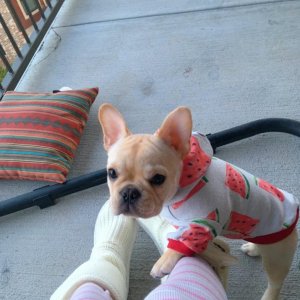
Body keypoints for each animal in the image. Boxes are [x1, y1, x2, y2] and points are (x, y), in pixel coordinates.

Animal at [98, 103, 298, 300]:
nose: (129, 192)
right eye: (111, 173)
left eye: (158, 179)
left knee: (275, 282)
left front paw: (166, 260)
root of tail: (294, 209)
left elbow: (185, 242)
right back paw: (253, 248)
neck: (180, 186)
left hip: (277, 257)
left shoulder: (204, 223)